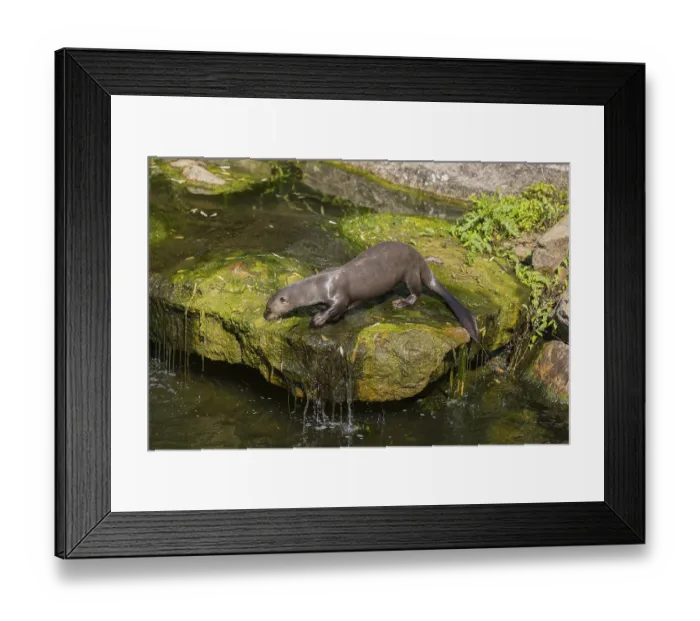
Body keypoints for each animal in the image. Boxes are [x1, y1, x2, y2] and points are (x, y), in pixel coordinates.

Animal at [264, 241, 481, 343]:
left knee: (417, 292)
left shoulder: (338, 295)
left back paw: (402, 302)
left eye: (269, 308)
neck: (319, 285)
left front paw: (317, 320)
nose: (265, 317)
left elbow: (337, 307)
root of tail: (420, 258)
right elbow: (341, 310)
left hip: (410, 272)